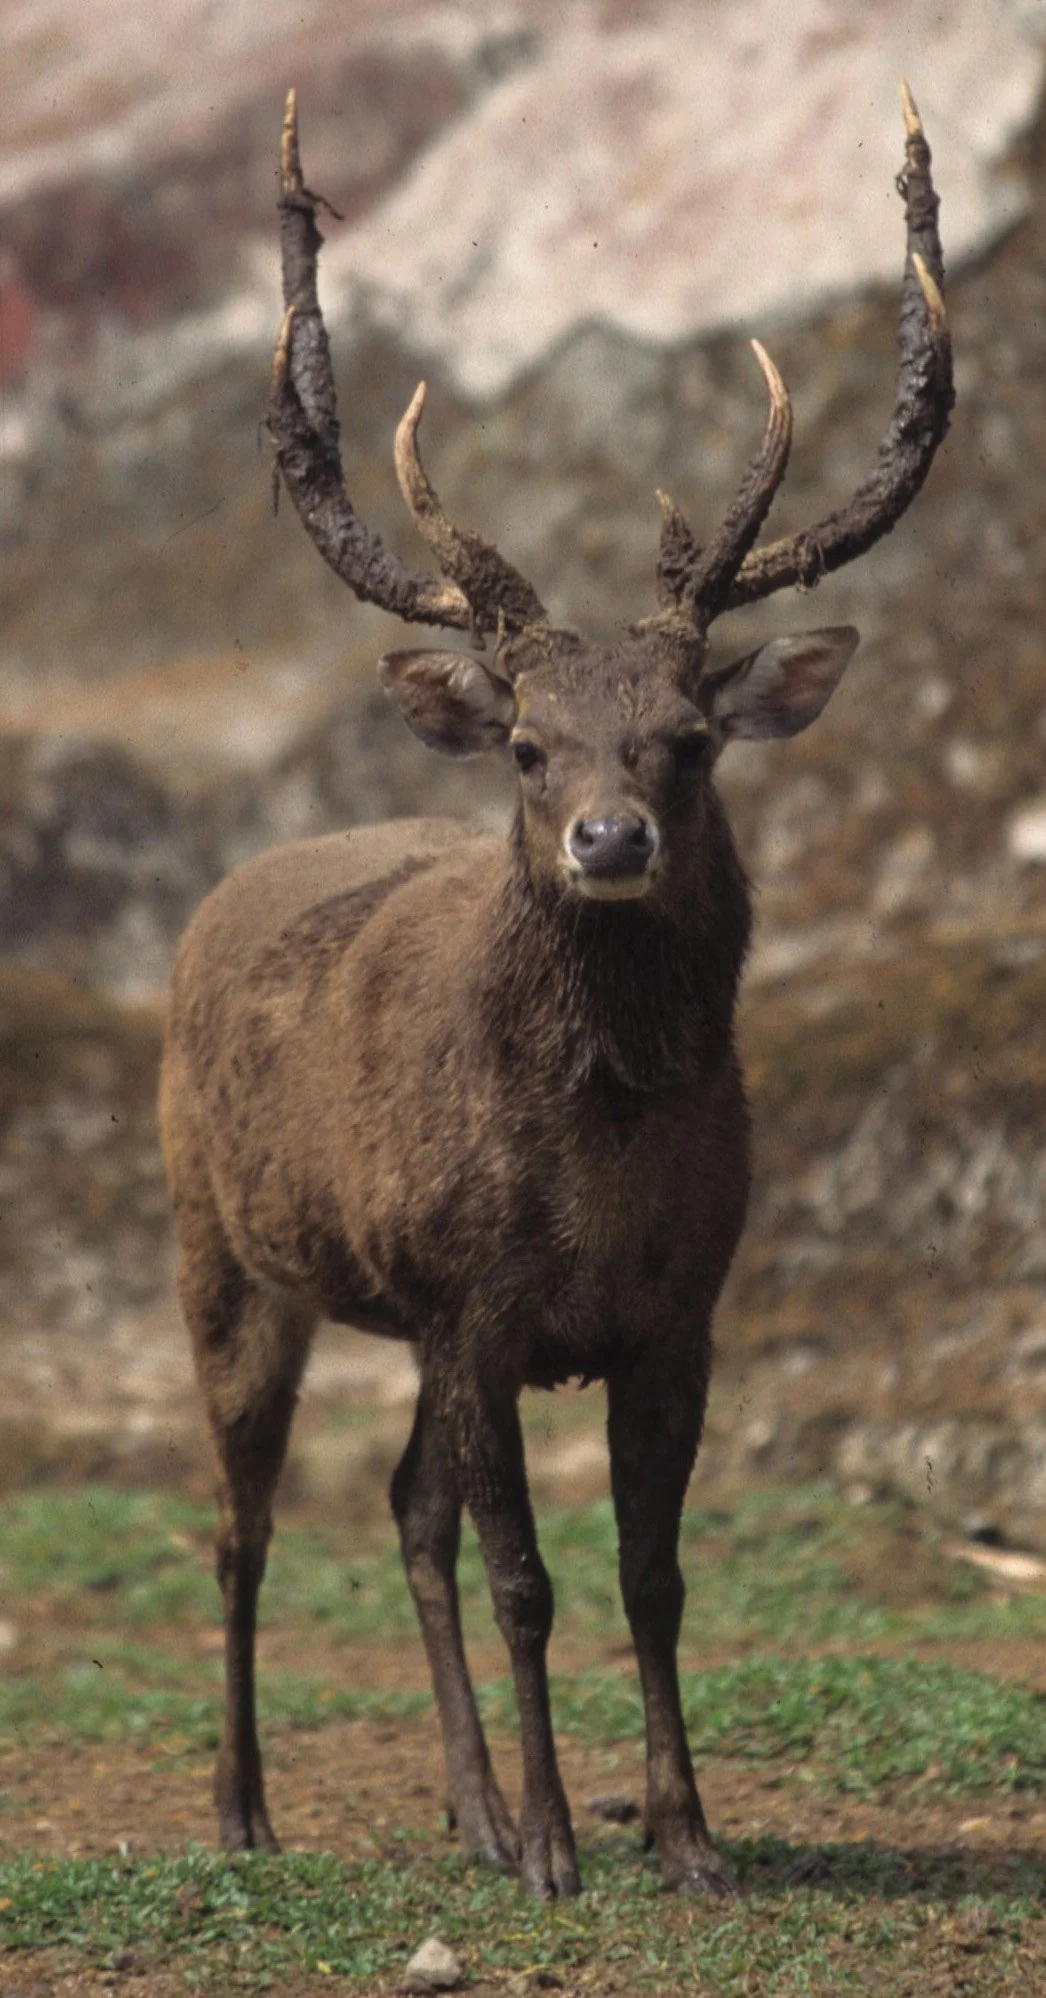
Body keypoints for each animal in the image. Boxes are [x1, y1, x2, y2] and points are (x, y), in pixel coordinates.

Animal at [159, 84, 952, 1899]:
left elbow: (653, 1574)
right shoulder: (474, 1303)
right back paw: (246, 1808)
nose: (608, 837)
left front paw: (686, 1835)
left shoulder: (680, 1309)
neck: (596, 1175)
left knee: (400, 1508)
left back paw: (457, 1808)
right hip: (221, 1252)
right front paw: (554, 1846)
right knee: (241, 1519)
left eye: (692, 733)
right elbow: (531, 1577)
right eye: (528, 743)